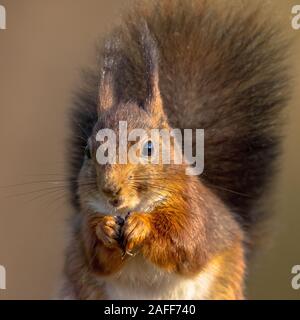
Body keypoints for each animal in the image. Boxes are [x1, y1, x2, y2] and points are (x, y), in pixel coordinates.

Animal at [59, 0, 290, 300]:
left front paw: (142, 226)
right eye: (88, 151)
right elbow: (97, 255)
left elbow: (182, 244)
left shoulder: (194, 214)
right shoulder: (87, 222)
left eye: (148, 147)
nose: (110, 189)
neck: (133, 207)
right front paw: (105, 228)